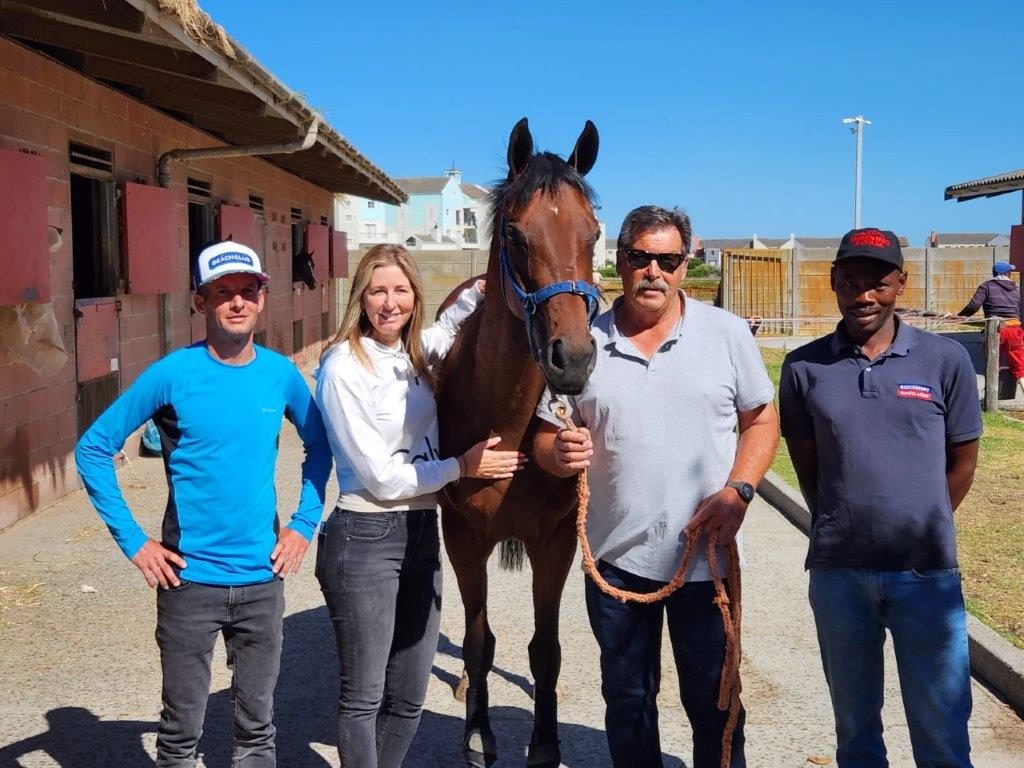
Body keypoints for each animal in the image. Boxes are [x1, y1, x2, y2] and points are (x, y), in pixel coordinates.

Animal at [434, 117, 598, 765]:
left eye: (594, 232)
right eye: (514, 232)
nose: (572, 358)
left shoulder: (556, 541)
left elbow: (545, 649)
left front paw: (546, 742)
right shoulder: (463, 537)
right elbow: (479, 640)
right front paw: (479, 733)